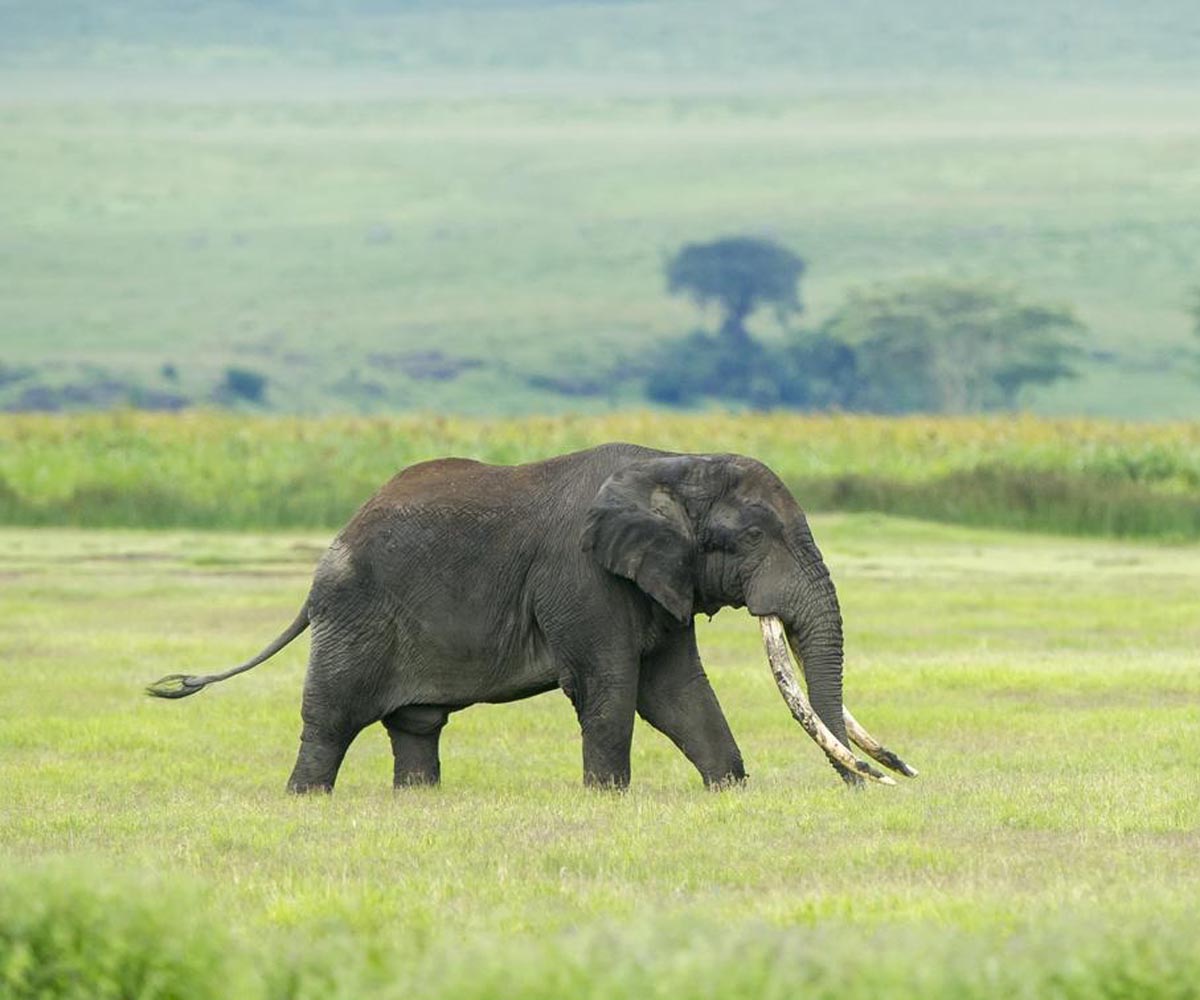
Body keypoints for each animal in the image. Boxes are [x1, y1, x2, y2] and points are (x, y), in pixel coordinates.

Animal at [150, 441, 916, 787]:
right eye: (754, 537)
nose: (867, 780)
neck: (674, 463)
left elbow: (679, 692)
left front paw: (729, 790)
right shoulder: (581, 578)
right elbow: (611, 689)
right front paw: (607, 799)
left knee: (416, 726)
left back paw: (416, 802)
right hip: (354, 614)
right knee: (332, 720)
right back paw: (306, 800)